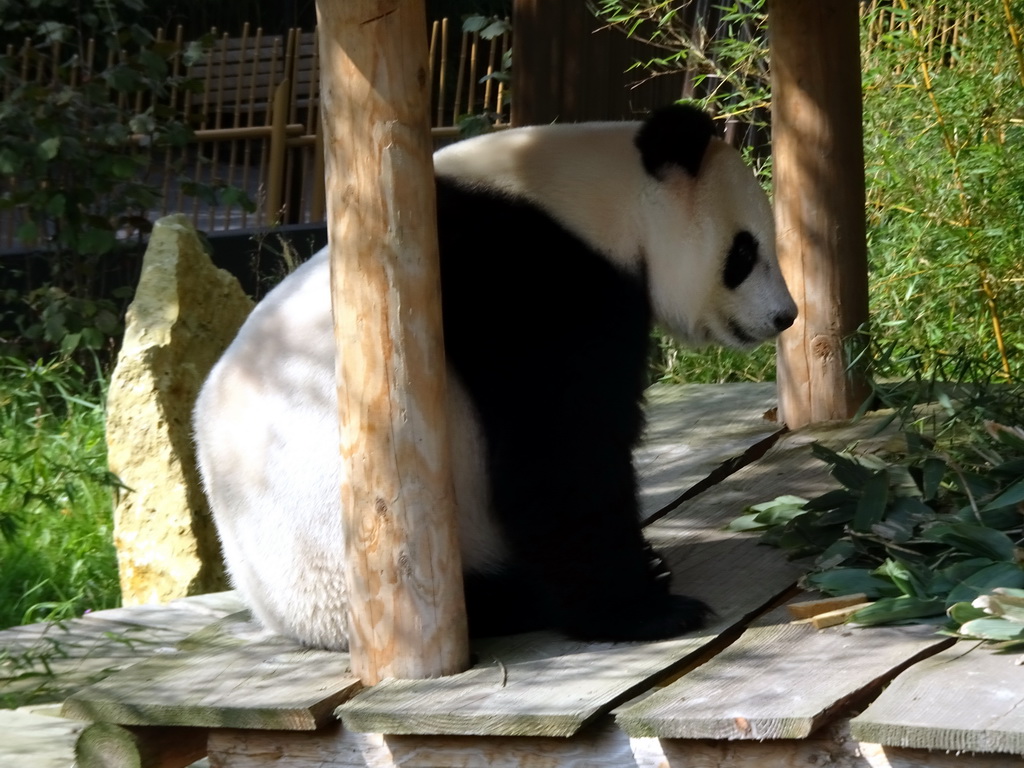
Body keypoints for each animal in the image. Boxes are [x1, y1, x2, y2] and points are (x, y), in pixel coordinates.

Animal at [193, 105, 798, 651]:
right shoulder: (526, 278)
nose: (785, 316)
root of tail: (293, 623)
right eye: (745, 251)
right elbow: (559, 447)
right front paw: (646, 613)